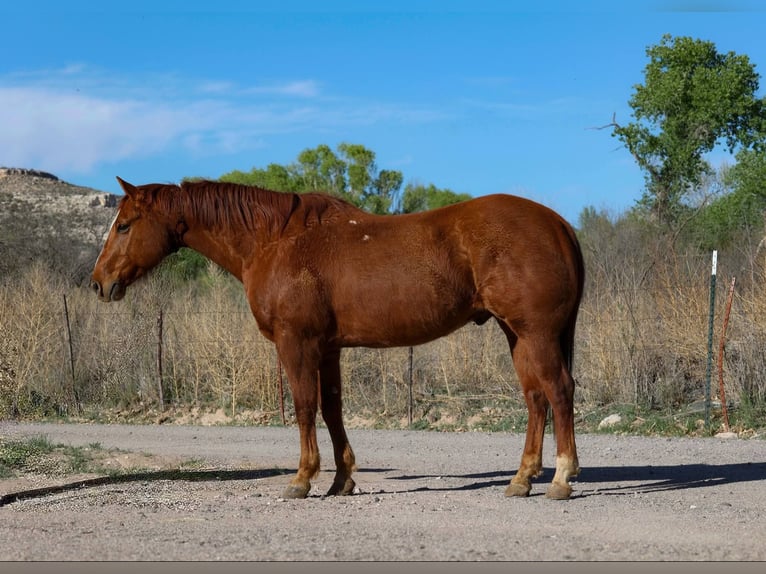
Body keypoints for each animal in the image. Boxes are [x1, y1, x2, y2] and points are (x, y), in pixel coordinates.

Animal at [91, 177, 585, 500]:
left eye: (124, 225)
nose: (99, 283)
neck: (275, 241)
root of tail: (557, 224)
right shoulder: (327, 348)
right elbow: (331, 410)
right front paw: (340, 480)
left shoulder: (297, 343)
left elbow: (304, 406)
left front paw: (302, 478)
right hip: (517, 335)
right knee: (536, 399)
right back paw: (522, 479)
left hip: (536, 334)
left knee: (559, 392)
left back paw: (561, 478)